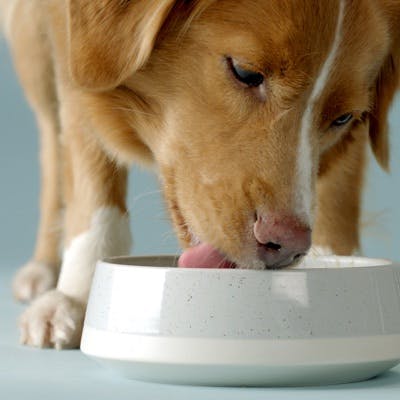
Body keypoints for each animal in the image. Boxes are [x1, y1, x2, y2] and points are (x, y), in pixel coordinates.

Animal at [0, 0, 400, 348]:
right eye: (245, 72)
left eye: (343, 118)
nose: (286, 246)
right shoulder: (70, 43)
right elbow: (91, 173)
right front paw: (78, 295)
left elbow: (339, 189)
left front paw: (337, 272)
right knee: (51, 143)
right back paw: (44, 267)